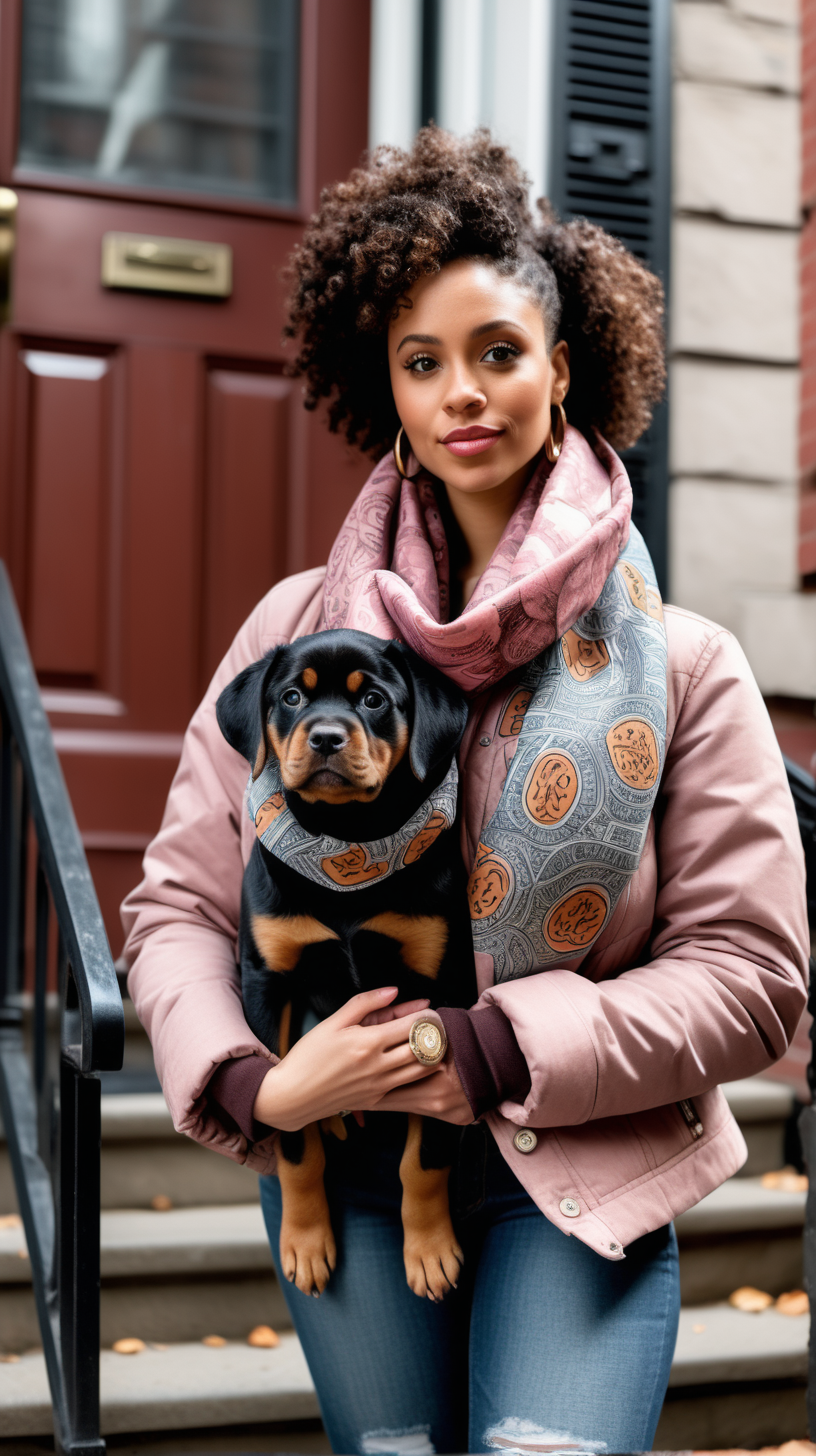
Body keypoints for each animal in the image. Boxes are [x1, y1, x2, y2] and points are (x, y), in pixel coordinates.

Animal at [217, 631, 475, 1304]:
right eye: (291, 696)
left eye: (375, 699)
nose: (327, 737)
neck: (348, 842)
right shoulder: (269, 987)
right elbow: (292, 1137)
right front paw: (305, 1241)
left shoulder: (443, 991)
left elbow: (426, 1154)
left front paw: (429, 1249)